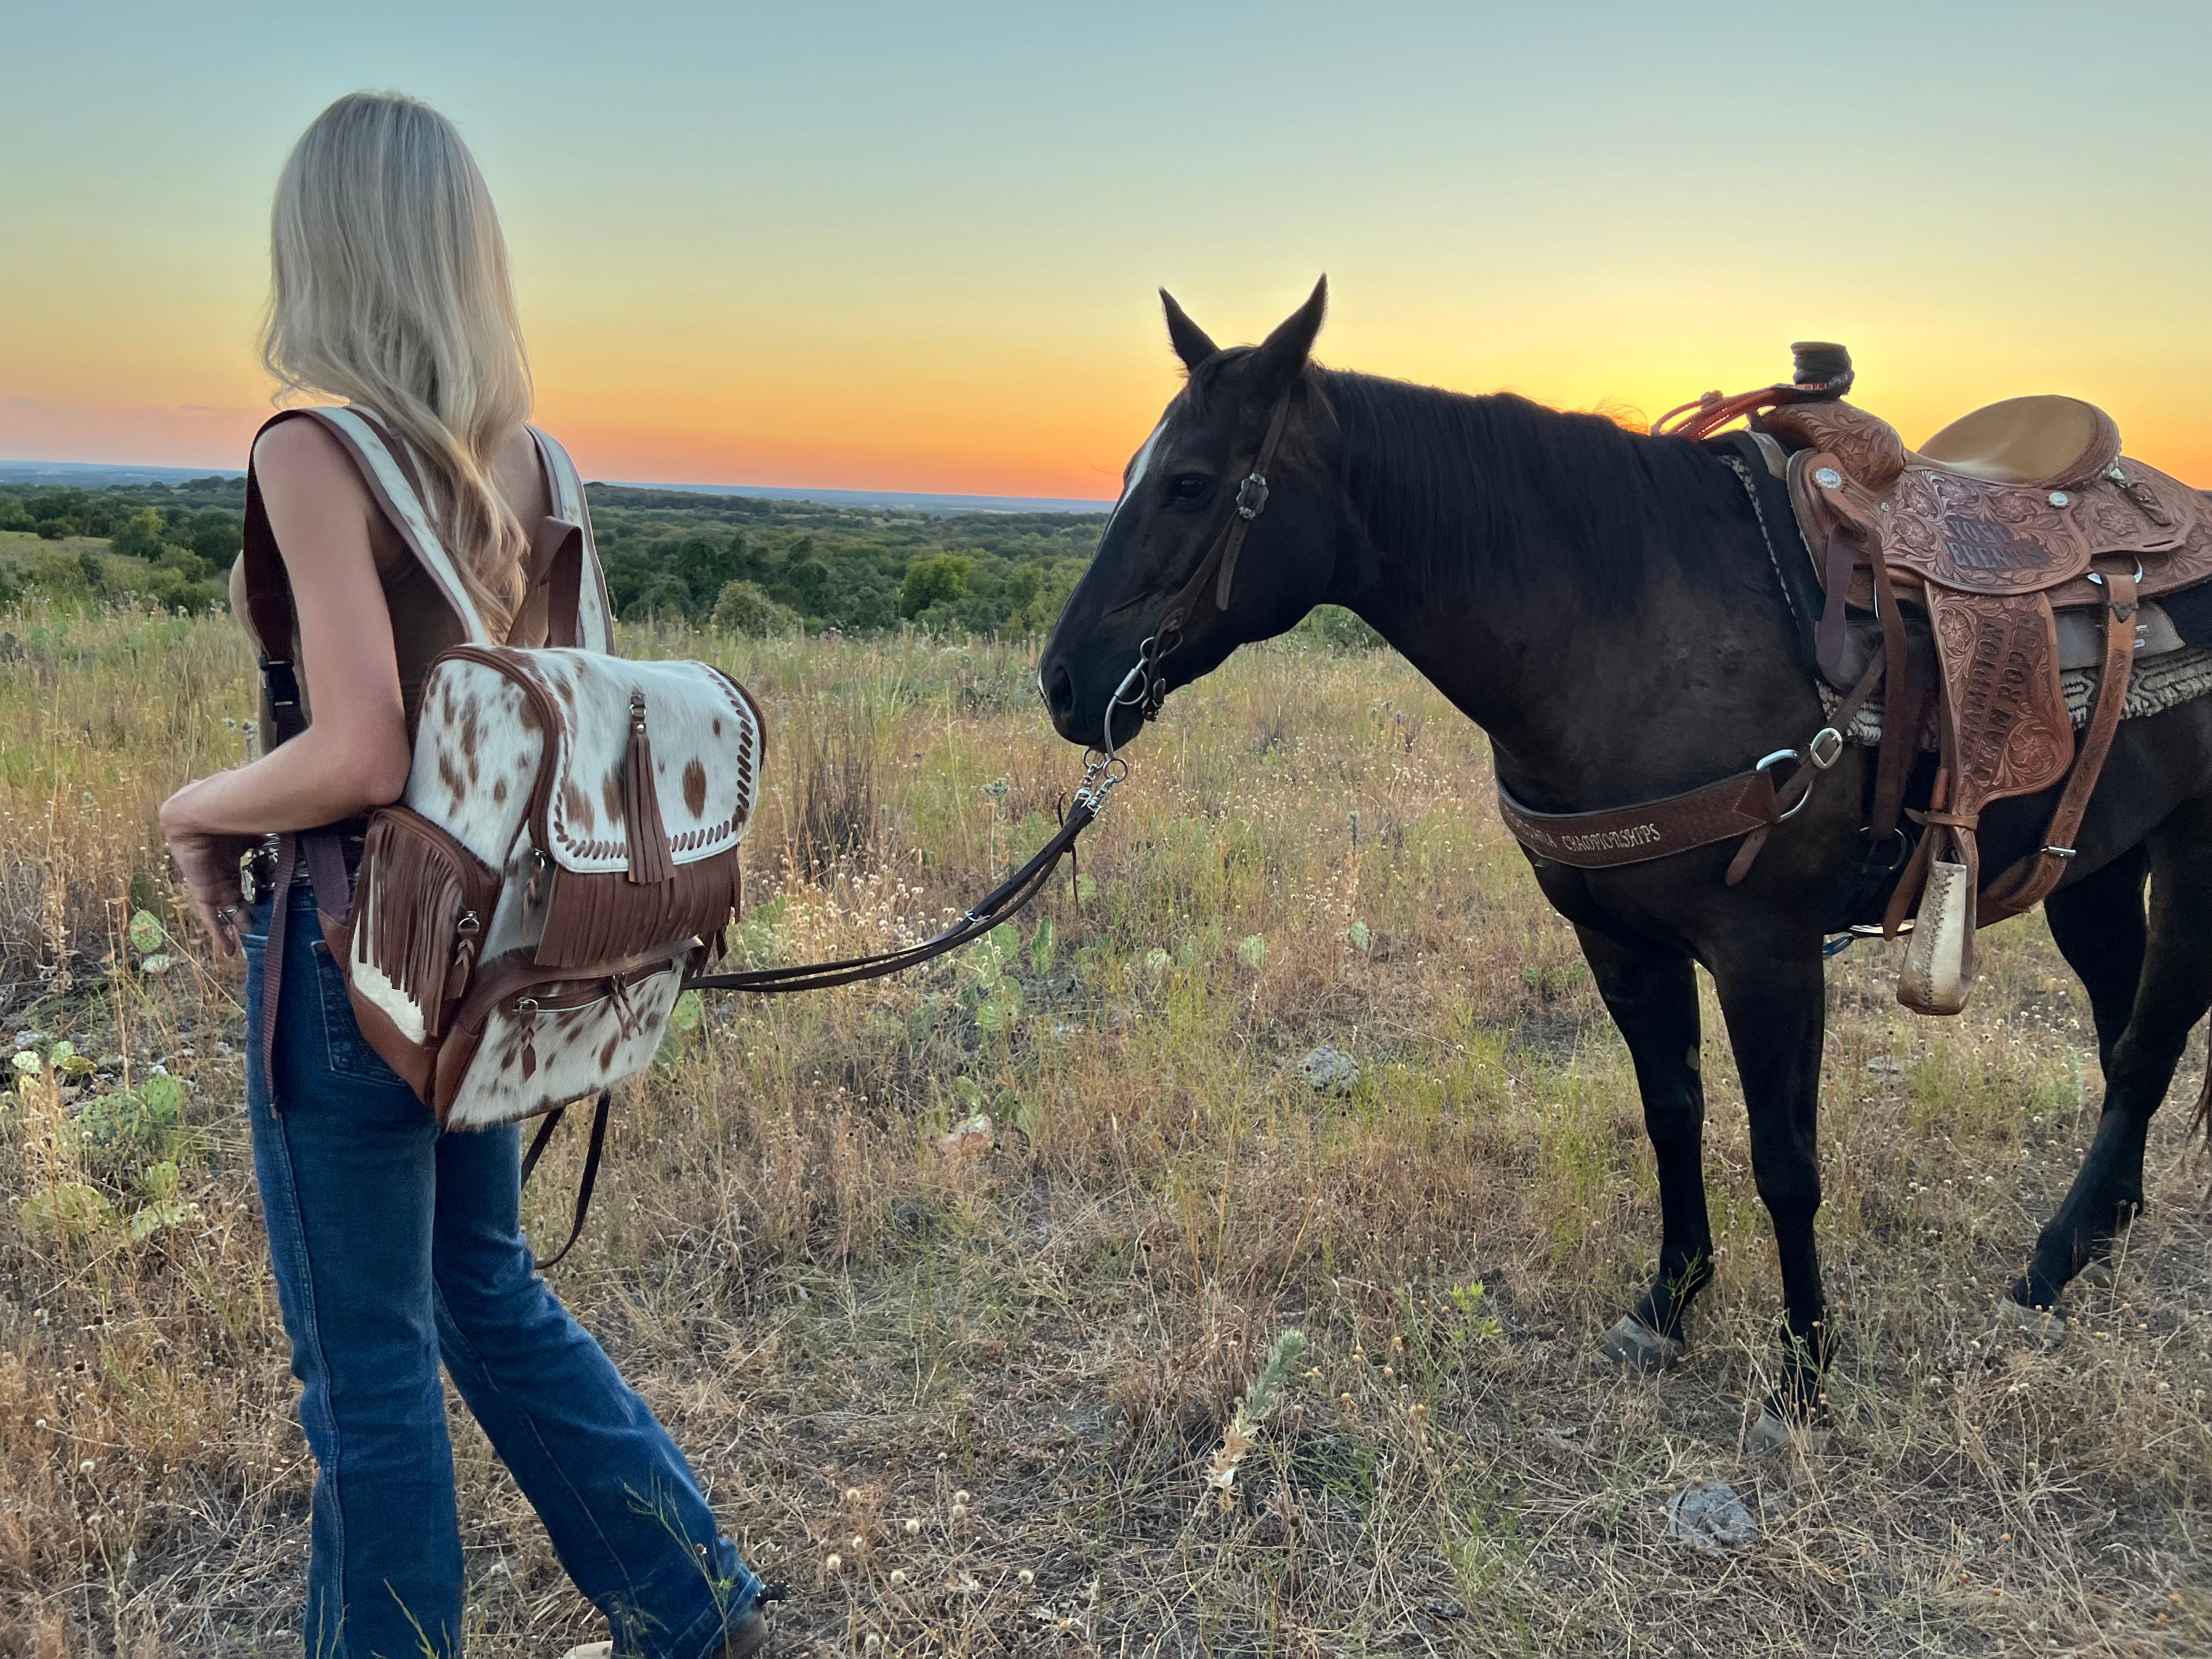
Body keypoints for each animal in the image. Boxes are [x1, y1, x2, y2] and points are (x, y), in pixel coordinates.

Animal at [1035, 280, 2212, 1451]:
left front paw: (1802, 1371)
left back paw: (2050, 1261)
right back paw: (2098, 1231)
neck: (1631, 629)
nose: (1064, 682)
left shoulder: (1768, 952)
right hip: (2092, 866)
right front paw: (1667, 1301)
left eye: (1190, 483)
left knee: (2146, 1043)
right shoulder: (1616, 939)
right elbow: (1671, 1113)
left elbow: (1785, 1161)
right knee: (2124, 1027)